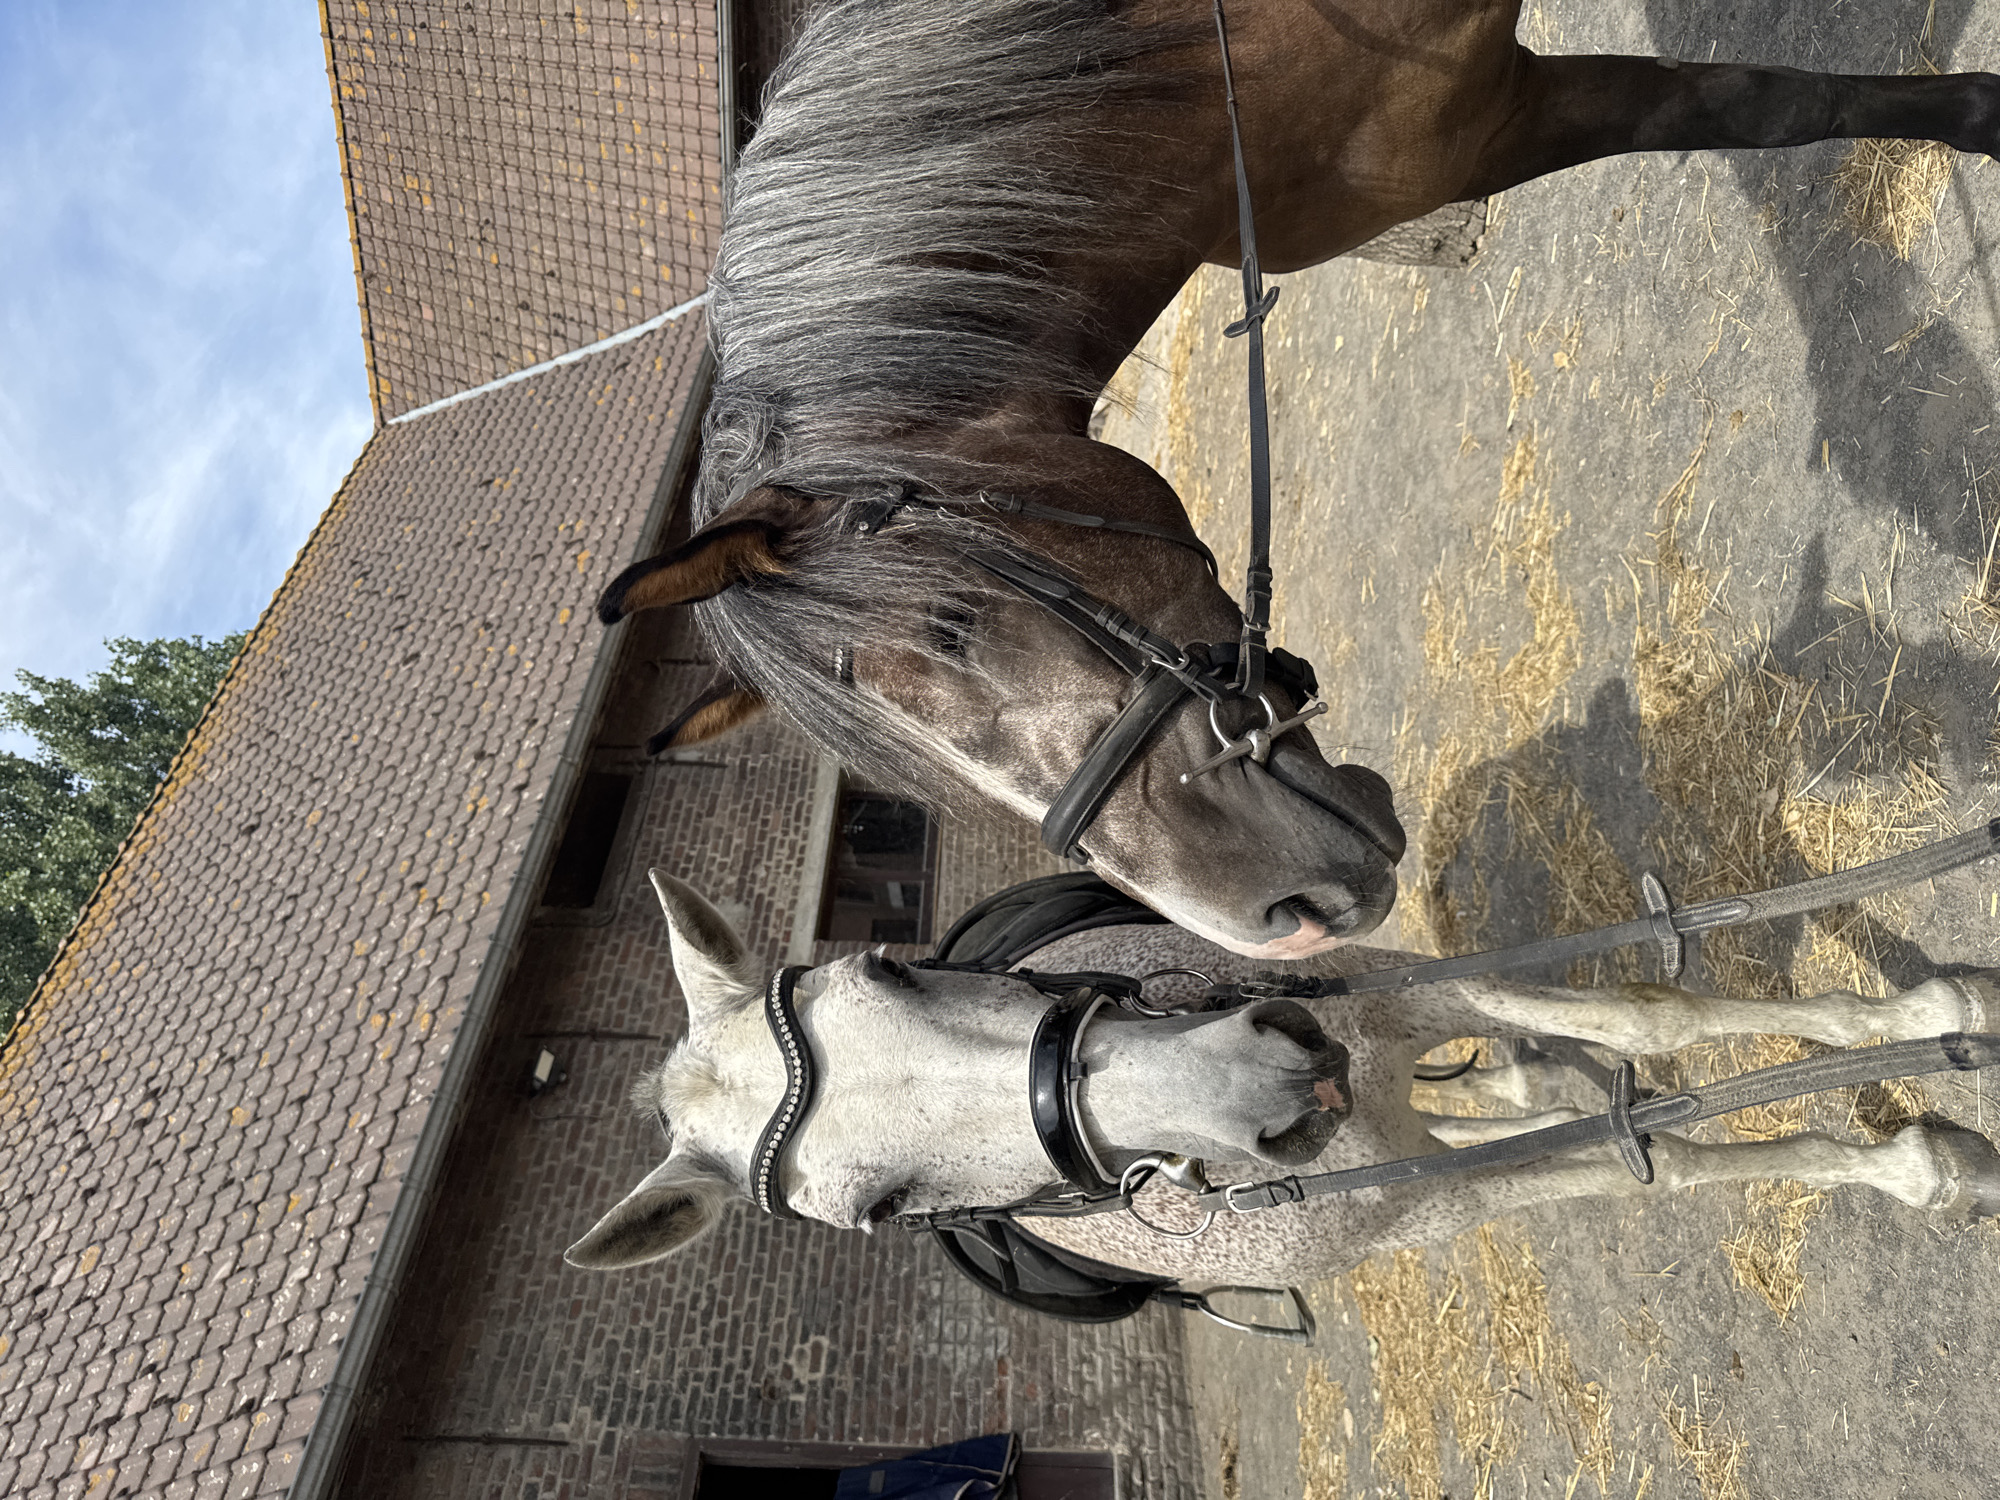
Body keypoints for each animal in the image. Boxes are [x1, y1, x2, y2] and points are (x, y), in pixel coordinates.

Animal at [565, 873, 2000, 1284]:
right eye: (880, 1215)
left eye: (891, 968)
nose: (1270, 1086)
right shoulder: (1441, 1204)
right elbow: (1651, 1164)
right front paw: (1923, 1158)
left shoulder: (1417, 990)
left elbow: (1650, 1013)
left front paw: (1945, 1016)